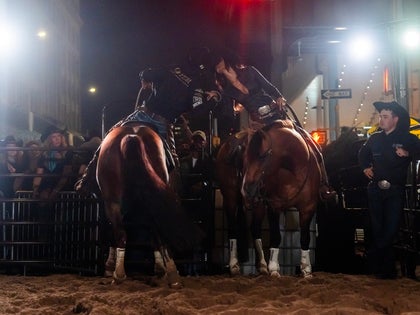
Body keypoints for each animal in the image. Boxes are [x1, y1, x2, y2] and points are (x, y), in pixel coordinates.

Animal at [98, 124, 203, 288]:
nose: (193, 144)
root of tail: (132, 137)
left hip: (113, 202)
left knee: (122, 233)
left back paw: (119, 275)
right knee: (155, 232)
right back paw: (172, 275)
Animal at [217, 121, 318, 278]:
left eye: (262, 156)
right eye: (245, 157)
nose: (246, 188)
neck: (293, 171)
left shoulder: (308, 207)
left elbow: (305, 237)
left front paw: (306, 270)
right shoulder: (274, 206)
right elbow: (276, 236)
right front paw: (274, 269)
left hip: (257, 204)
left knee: (255, 229)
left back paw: (262, 266)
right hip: (230, 198)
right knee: (233, 228)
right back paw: (234, 265)